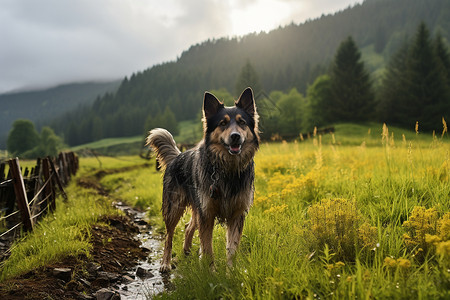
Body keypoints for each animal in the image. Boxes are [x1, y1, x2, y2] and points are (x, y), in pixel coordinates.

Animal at [147, 86, 260, 272]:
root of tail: (177, 157)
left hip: (197, 205)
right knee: (169, 236)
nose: (235, 136)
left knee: (188, 227)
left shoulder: (236, 214)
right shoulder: (206, 213)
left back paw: (186, 250)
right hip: (174, 207)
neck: (227, 169)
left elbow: (232, 248)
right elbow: (207, 248)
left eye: (242, 122)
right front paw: (211, 273)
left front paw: (230, 273)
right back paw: (165, 263)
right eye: (223, 123)